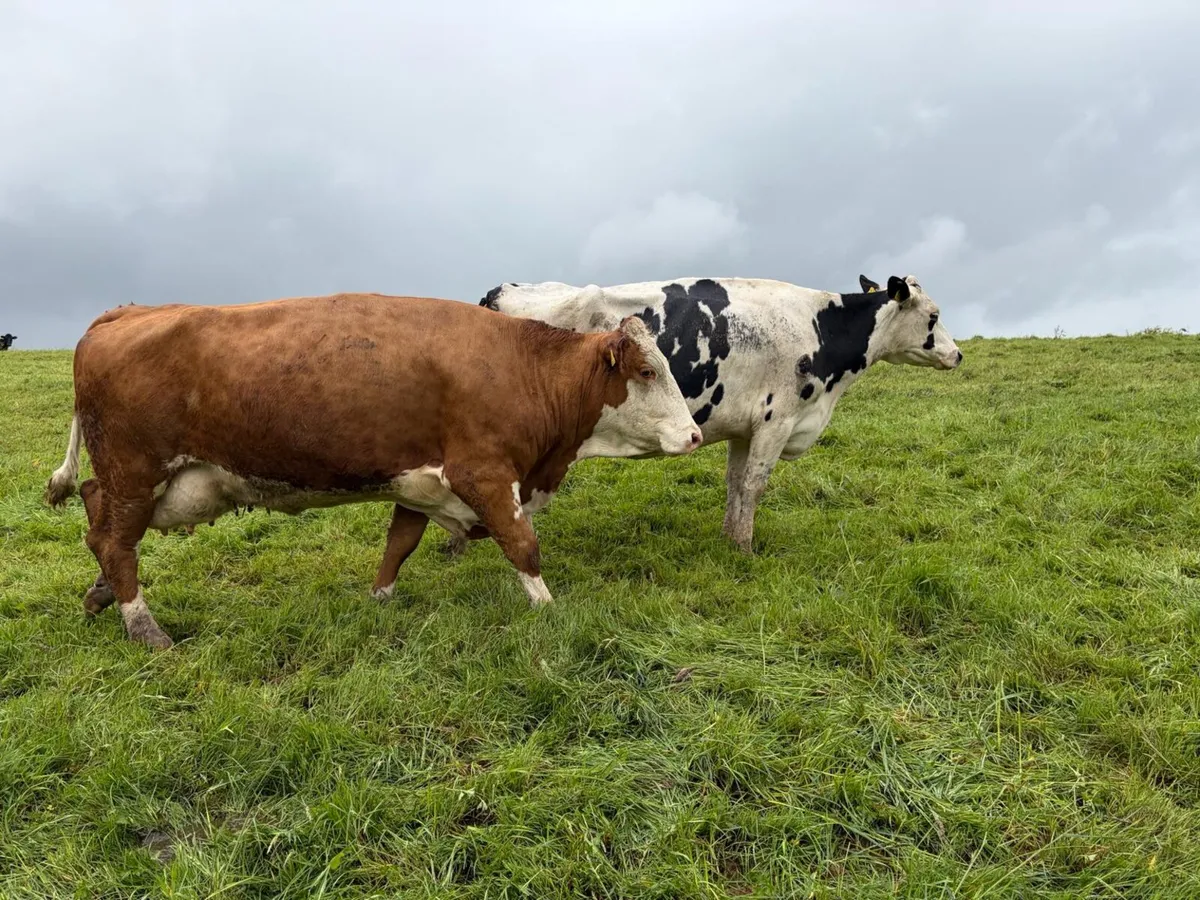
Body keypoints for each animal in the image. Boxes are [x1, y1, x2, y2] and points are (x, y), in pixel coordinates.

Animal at [44, 293, 702, 649]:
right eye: (647, 371)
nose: (696, 435)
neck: (524, 369)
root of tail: (124, 313)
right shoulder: (484, 473)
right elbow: (523, 545)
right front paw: (549, 609)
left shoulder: (420, 481)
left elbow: (399, 543)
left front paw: (379, 599)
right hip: (138, 469)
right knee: (114, 538)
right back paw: (144, 626)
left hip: (160, 482)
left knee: (97, 515)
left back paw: (102, 594)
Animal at [478, 274, 962, 552]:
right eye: (934, 315)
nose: (957, 354)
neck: (820, 328)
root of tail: (498, 291)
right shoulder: (777, 419)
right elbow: (754, 485)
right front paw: (746, 548)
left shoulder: (745, 428)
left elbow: (734, 482)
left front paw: (729, 538)